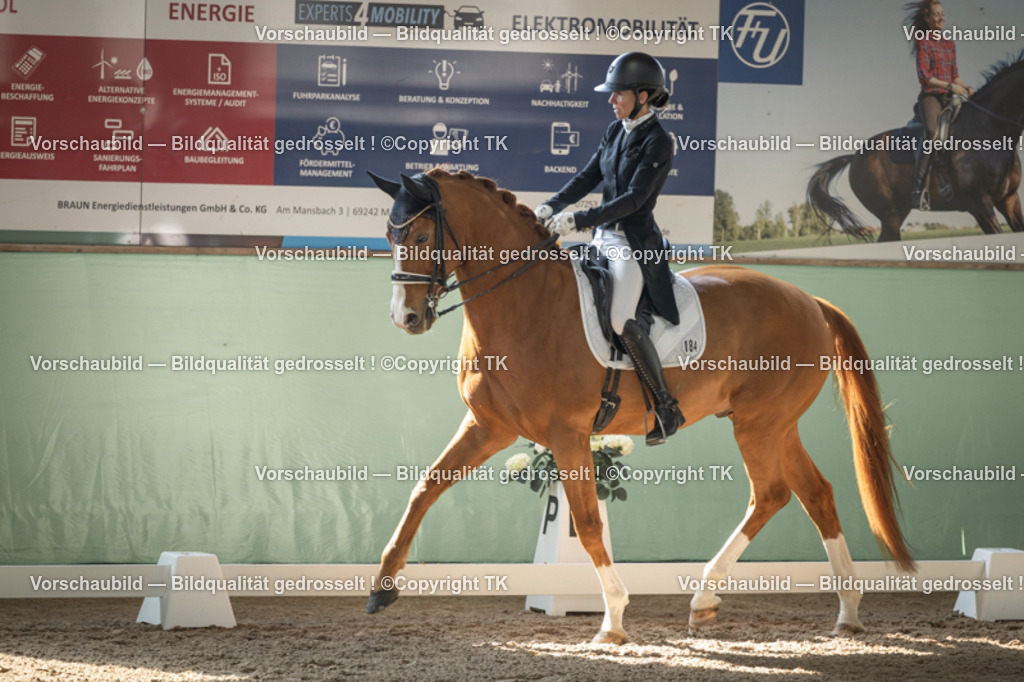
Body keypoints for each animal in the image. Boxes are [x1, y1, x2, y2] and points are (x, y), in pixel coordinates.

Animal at [365, 167, 914, 644]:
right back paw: (847, 612)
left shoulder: (567, 434)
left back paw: (705, 599)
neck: (526, 303)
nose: (406, 318)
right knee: (815, 494)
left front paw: (613, 619)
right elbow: (425, 488)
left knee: (771, 493)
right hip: (777, 425)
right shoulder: (488, 426)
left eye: (419, 237)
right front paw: (381, 588)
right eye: (390, 237)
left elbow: (587, 525)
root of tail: (810, 302)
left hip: (759, 425)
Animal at [808, 54, 1024, 242]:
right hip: (889, 214)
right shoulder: (980, 205)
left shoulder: (1010, 200)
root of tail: (854, 157)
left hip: (900, 210)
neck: (988, 128)